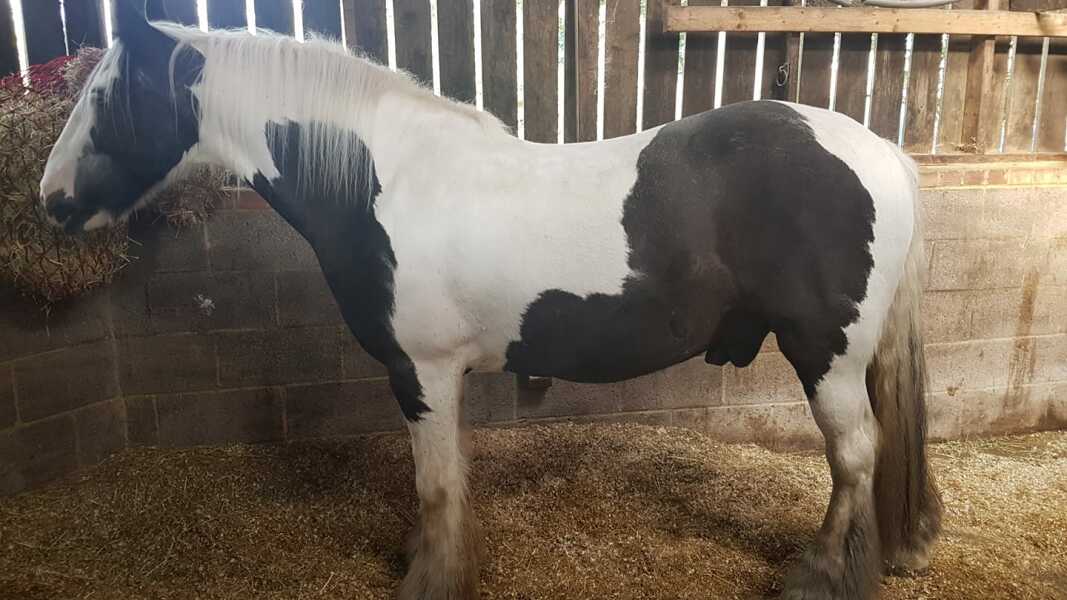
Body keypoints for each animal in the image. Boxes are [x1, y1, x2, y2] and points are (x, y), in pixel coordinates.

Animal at [40, 2, 942, 598]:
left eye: (104, 97)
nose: (50, 201)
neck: (388, 179)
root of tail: (879, 151)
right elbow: (439, 485)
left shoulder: (424, 372)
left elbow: (438, 486)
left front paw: (431, 578)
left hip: (824, 355)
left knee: (854, 456)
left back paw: (818, 574)